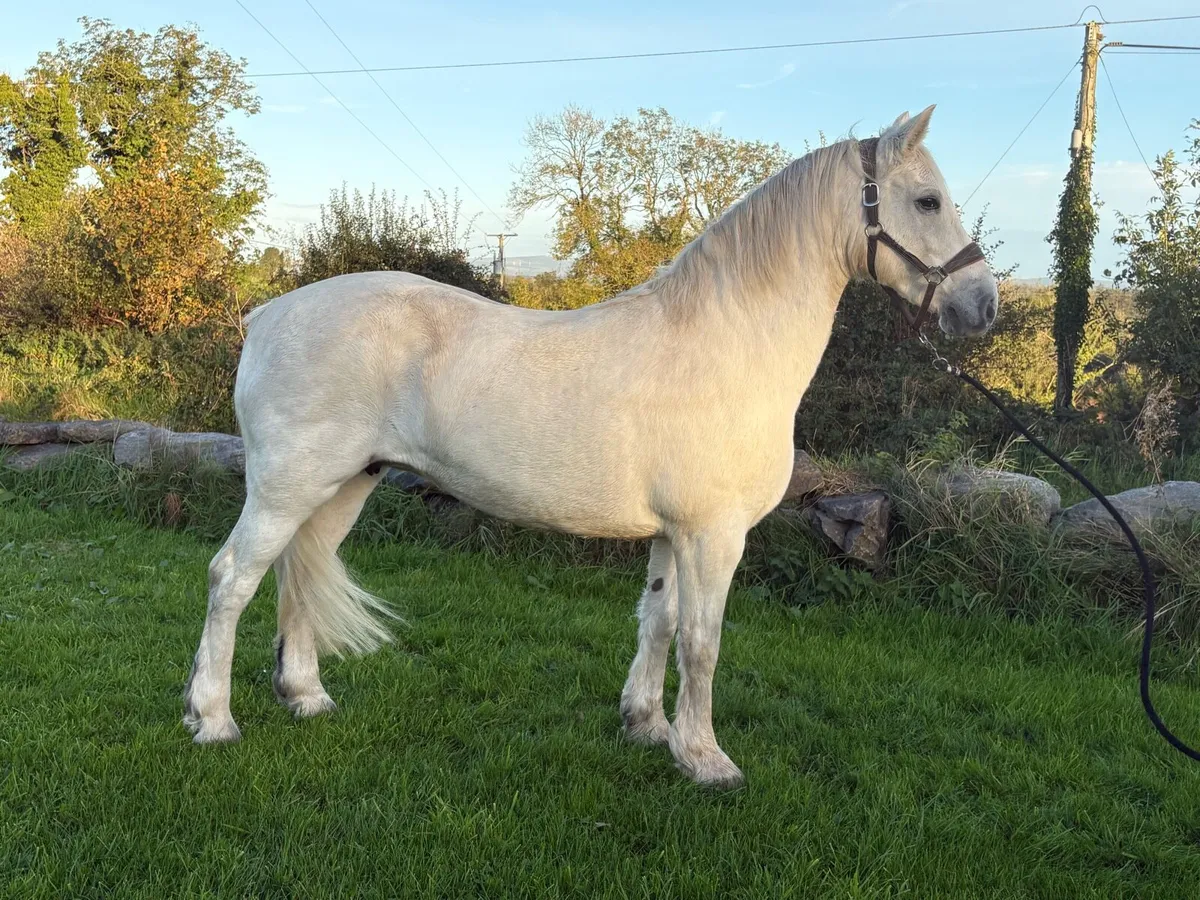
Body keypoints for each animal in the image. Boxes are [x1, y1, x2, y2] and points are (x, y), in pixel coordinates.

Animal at [183, 105, 998, 787]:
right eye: (928, 201)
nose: (982, 305)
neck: (728, 346)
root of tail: (266, 314)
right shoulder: (714, 535)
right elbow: (703, 640)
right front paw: (706, 759)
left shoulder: (676, 534)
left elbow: (659, 620)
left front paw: (647, 727)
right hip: (287, 487)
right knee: (232, 578)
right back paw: (212, 719)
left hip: (344, 486)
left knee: (297, 575)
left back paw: (306, 698)